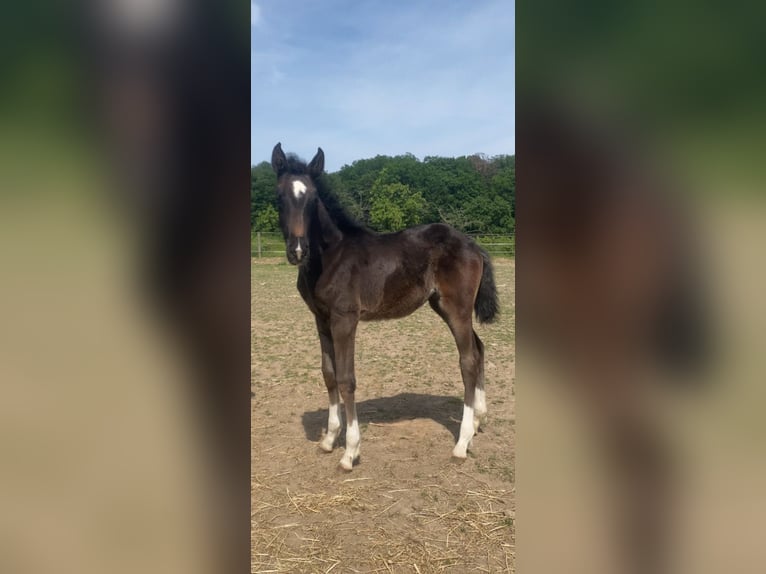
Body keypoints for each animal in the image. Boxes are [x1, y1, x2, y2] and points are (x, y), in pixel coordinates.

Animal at [272, 143, 500, 472]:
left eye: (313, 198)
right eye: (279, 196)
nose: (298, 250)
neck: (330, 257)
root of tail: (473, 245)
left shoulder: (345, 318)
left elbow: (346, 379)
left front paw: (349, 452)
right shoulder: (321, 319)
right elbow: (329, 374)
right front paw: (329, 439)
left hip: (457, 307)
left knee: (468, 360)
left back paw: (461, 443)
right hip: (443, 306)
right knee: (479, 349)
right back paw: (479, 421)